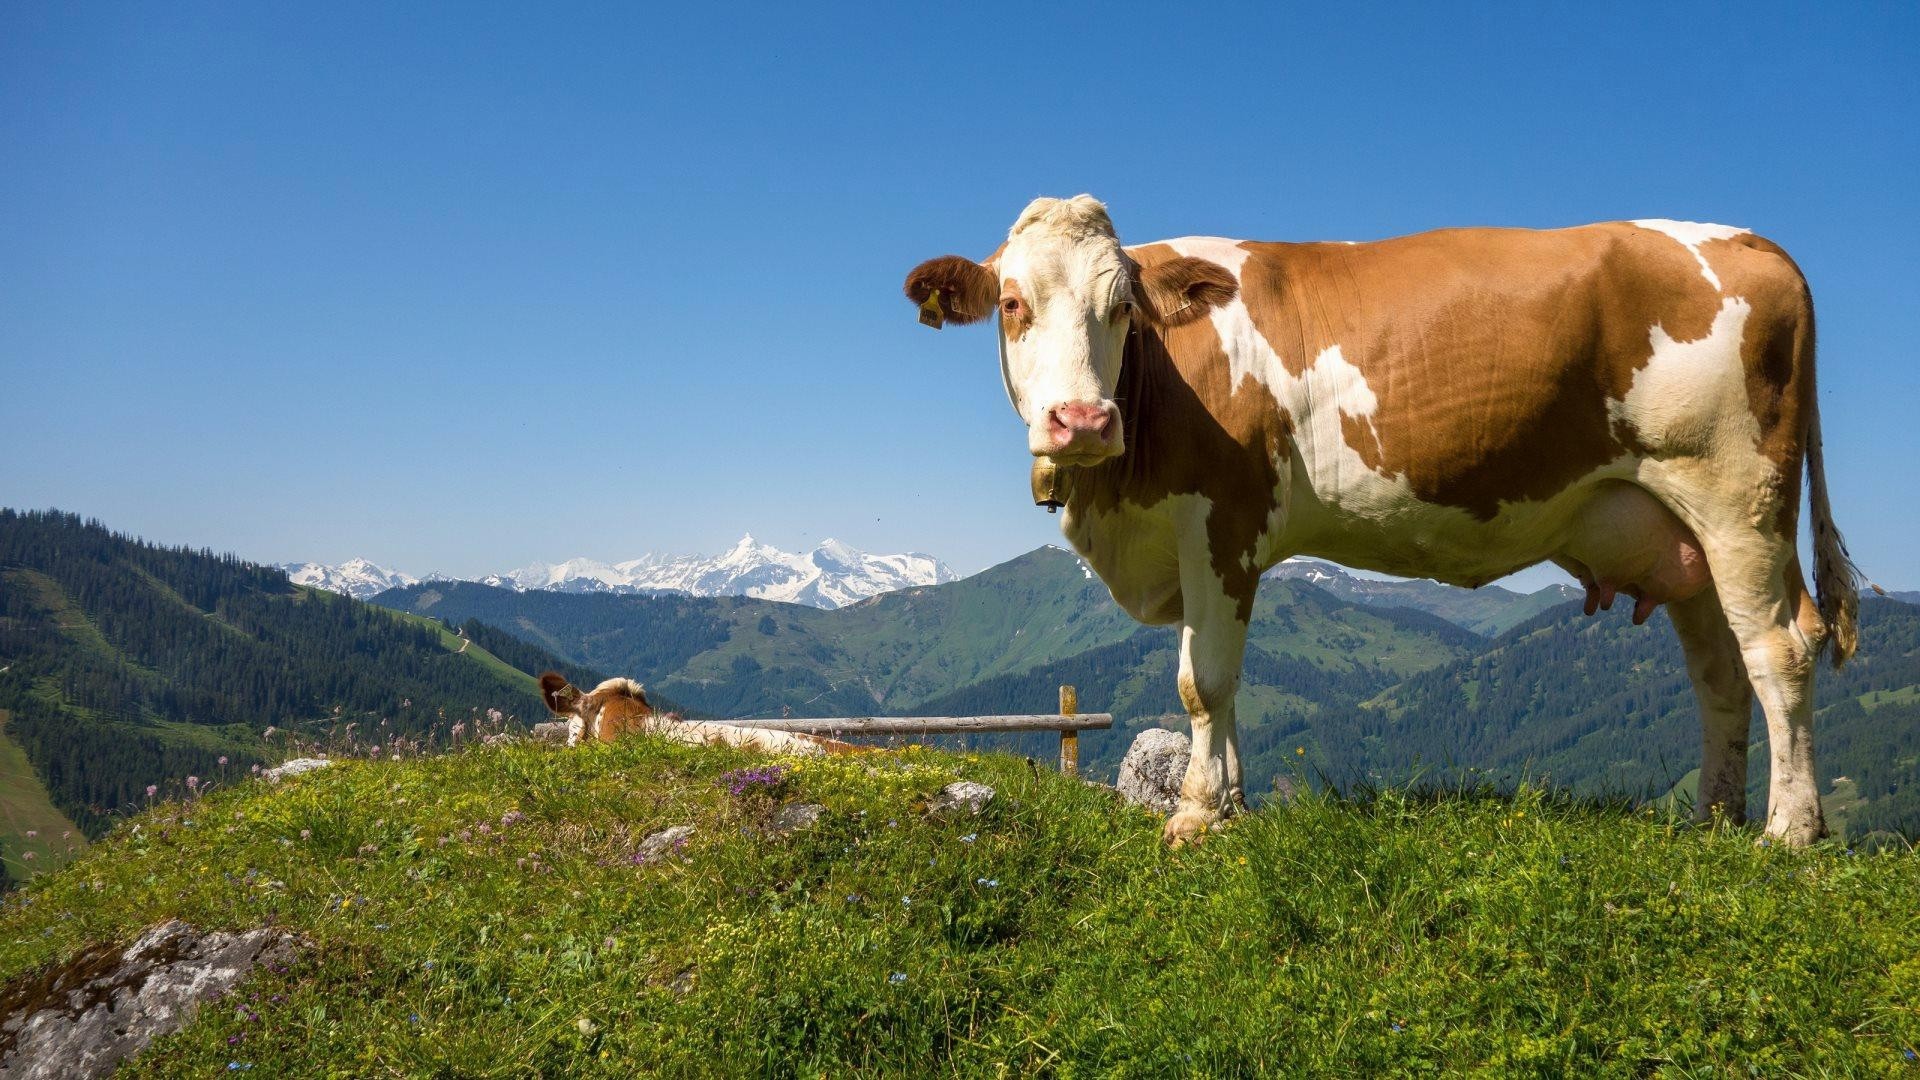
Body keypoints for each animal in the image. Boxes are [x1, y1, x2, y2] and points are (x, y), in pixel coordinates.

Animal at [904, 195, 1860, 846]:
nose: (1081, 420)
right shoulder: (1195, 545)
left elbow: (1202, 682)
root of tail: (1751, 240)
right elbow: (1223, 686)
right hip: (1678, 530)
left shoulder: (1222, 519)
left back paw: (1788, 832)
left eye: (1121, 307)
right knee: (1720, 671)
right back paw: (1713, 819)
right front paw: (1236, 807)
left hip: (1739, 495)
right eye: (1013, 304)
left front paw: (1196, 817)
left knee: (1781, 648)